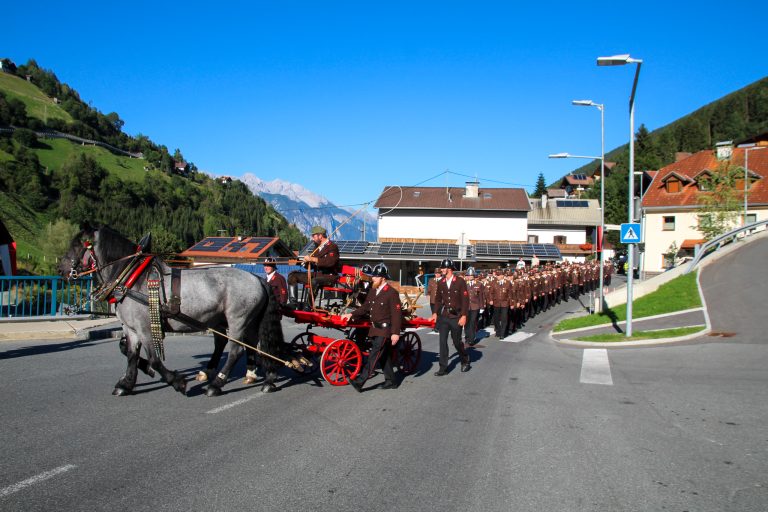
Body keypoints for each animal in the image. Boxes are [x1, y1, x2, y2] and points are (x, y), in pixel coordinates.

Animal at [60, 226, 286, 398]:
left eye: (77, 245)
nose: (61, 269)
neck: (132, 278)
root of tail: (257, 279)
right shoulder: (130, 329)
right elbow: (131, 355)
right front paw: (126, 384)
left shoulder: (145, 328)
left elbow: (154, 359)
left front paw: (177, 382)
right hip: (243, 321)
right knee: (251, 345)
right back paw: (262, 377)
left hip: (238, 320)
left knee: (236, 350)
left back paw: (216, 384)